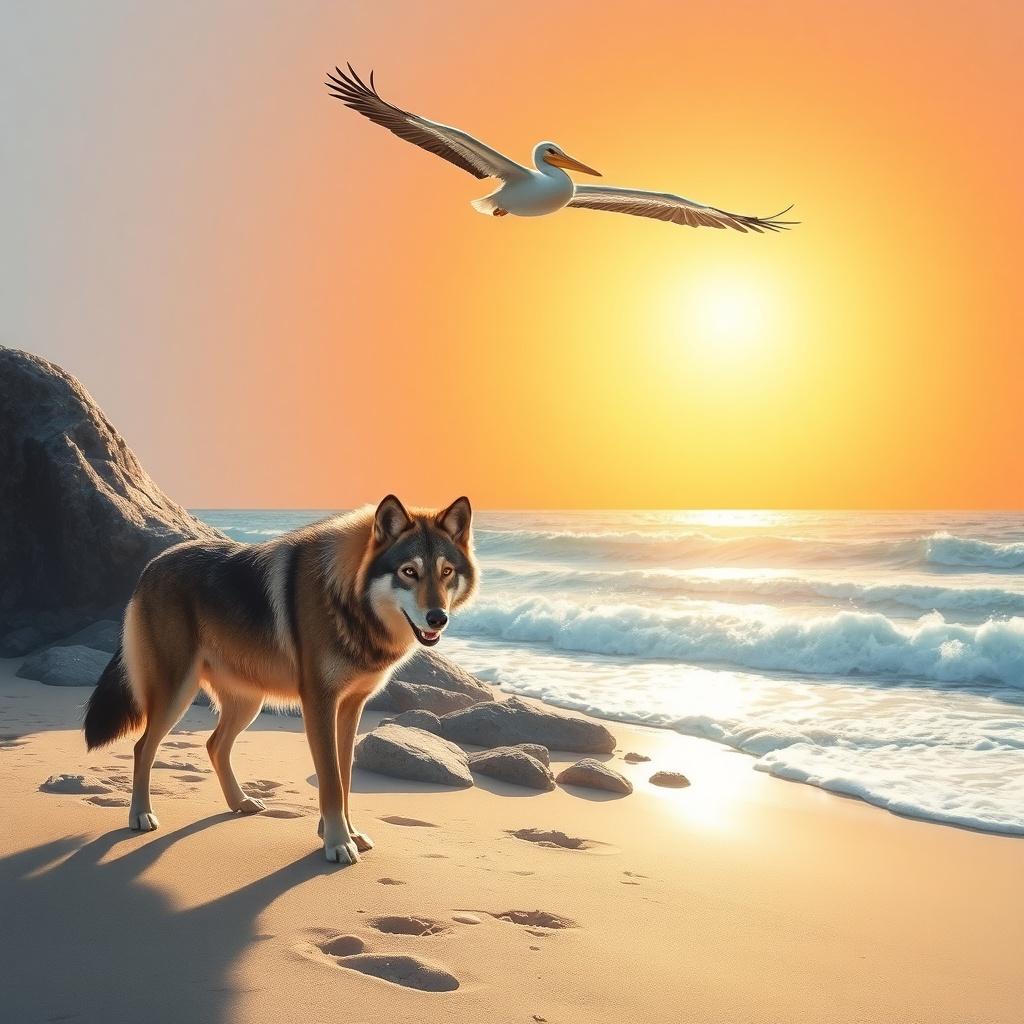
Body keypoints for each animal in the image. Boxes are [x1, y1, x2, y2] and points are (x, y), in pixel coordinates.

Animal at [83, 495, 477, 864]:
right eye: (409, 571)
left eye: (446, 572)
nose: (438, 617)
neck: (347, 599)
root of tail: (152, 565)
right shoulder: (319, 703)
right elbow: (331, 782)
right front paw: (337, 843)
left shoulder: (352, 707)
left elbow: (345, 779)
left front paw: (347, 834)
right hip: (177, 695)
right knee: (142, 747)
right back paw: (141, 815)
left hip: (249, 702)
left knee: (214, 745)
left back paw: (240, 802)